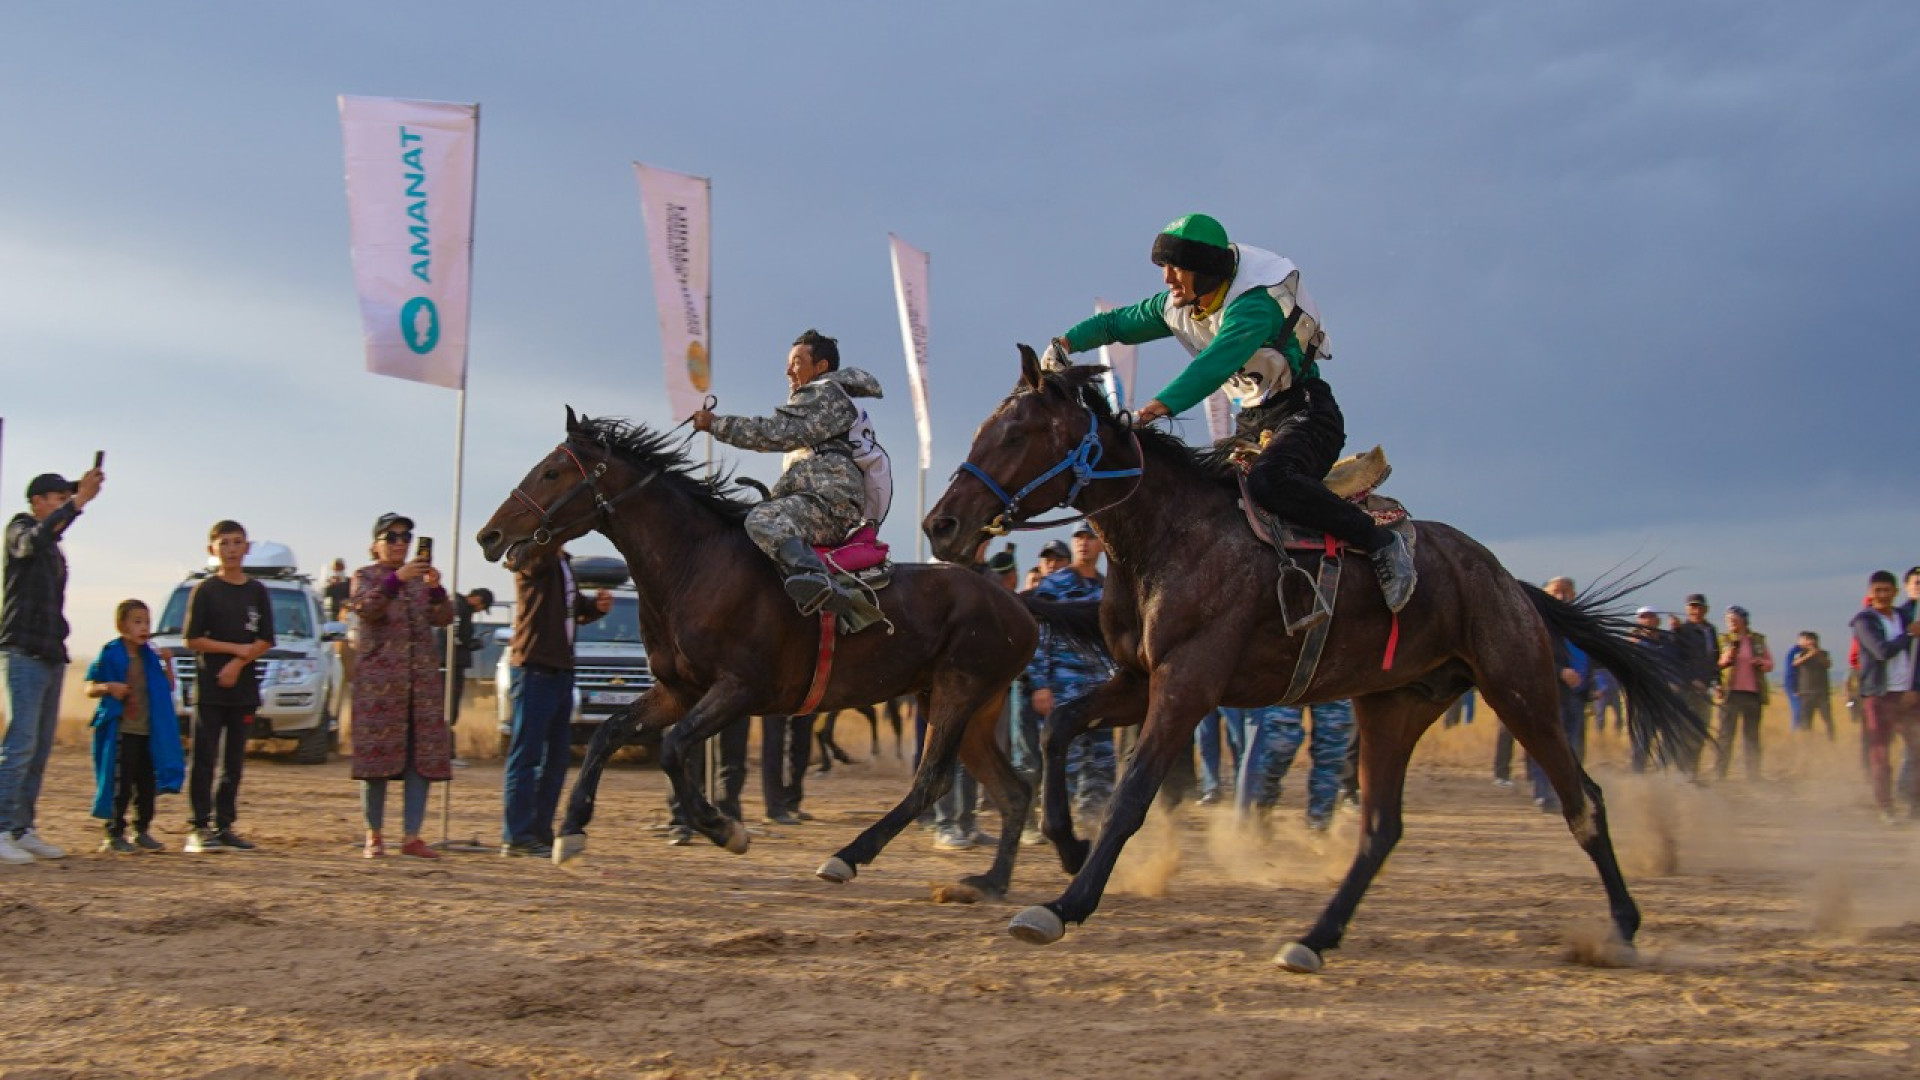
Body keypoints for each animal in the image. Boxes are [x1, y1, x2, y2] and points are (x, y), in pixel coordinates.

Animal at [480, 407, 1052, 895]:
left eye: (552, 472)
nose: (490, 535)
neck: (695, 566)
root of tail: (1020, 605)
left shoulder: (739, 689)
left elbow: (673, 748)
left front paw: (722, 828)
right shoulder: (678, 690)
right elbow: (607, 734)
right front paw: (571, 830)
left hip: (958, 693)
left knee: (930, 783)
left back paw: (847, 857)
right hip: (968, 707)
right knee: (1013, 791)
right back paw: (991, 883)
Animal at [921, 349, 1704, 972]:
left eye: (1015, 432)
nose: (940, 524)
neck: (1172, 536)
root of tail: (1509, 581)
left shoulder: (1188, 685)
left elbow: (1133, 792)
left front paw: (1064, 904)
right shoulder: (1141, 682)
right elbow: (1058, 730)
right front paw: (1067, 846)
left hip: (1520, 687)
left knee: (1583, 802)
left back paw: (1624, 926)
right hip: (1394, 706)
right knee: (1382, 828)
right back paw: (1315, 937)